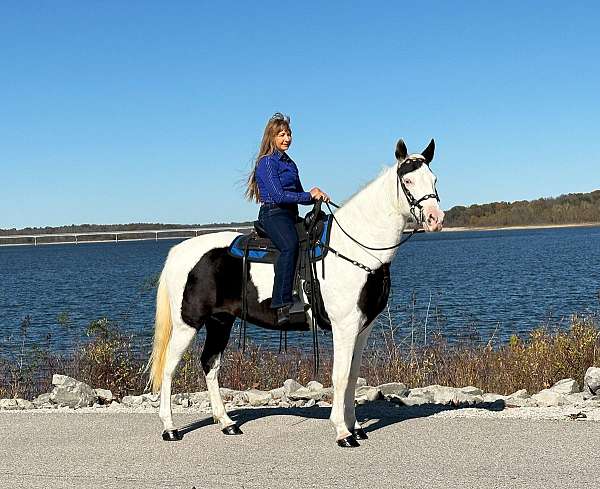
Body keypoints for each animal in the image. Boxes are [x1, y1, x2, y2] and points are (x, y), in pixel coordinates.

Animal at [148, 138, 442, 446]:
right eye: (408, 180)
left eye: (433, 178)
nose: (436, 218)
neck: (355, 248)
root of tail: (179, 251)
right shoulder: (344, 326)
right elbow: (339, 376)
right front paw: (342, 431)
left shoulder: (363, 327)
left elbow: (352, 376)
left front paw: (356, 426)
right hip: (188, 324)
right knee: (169, 367)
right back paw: (170, 428)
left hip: (221, 321)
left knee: (210, 364)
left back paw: (227, 423)